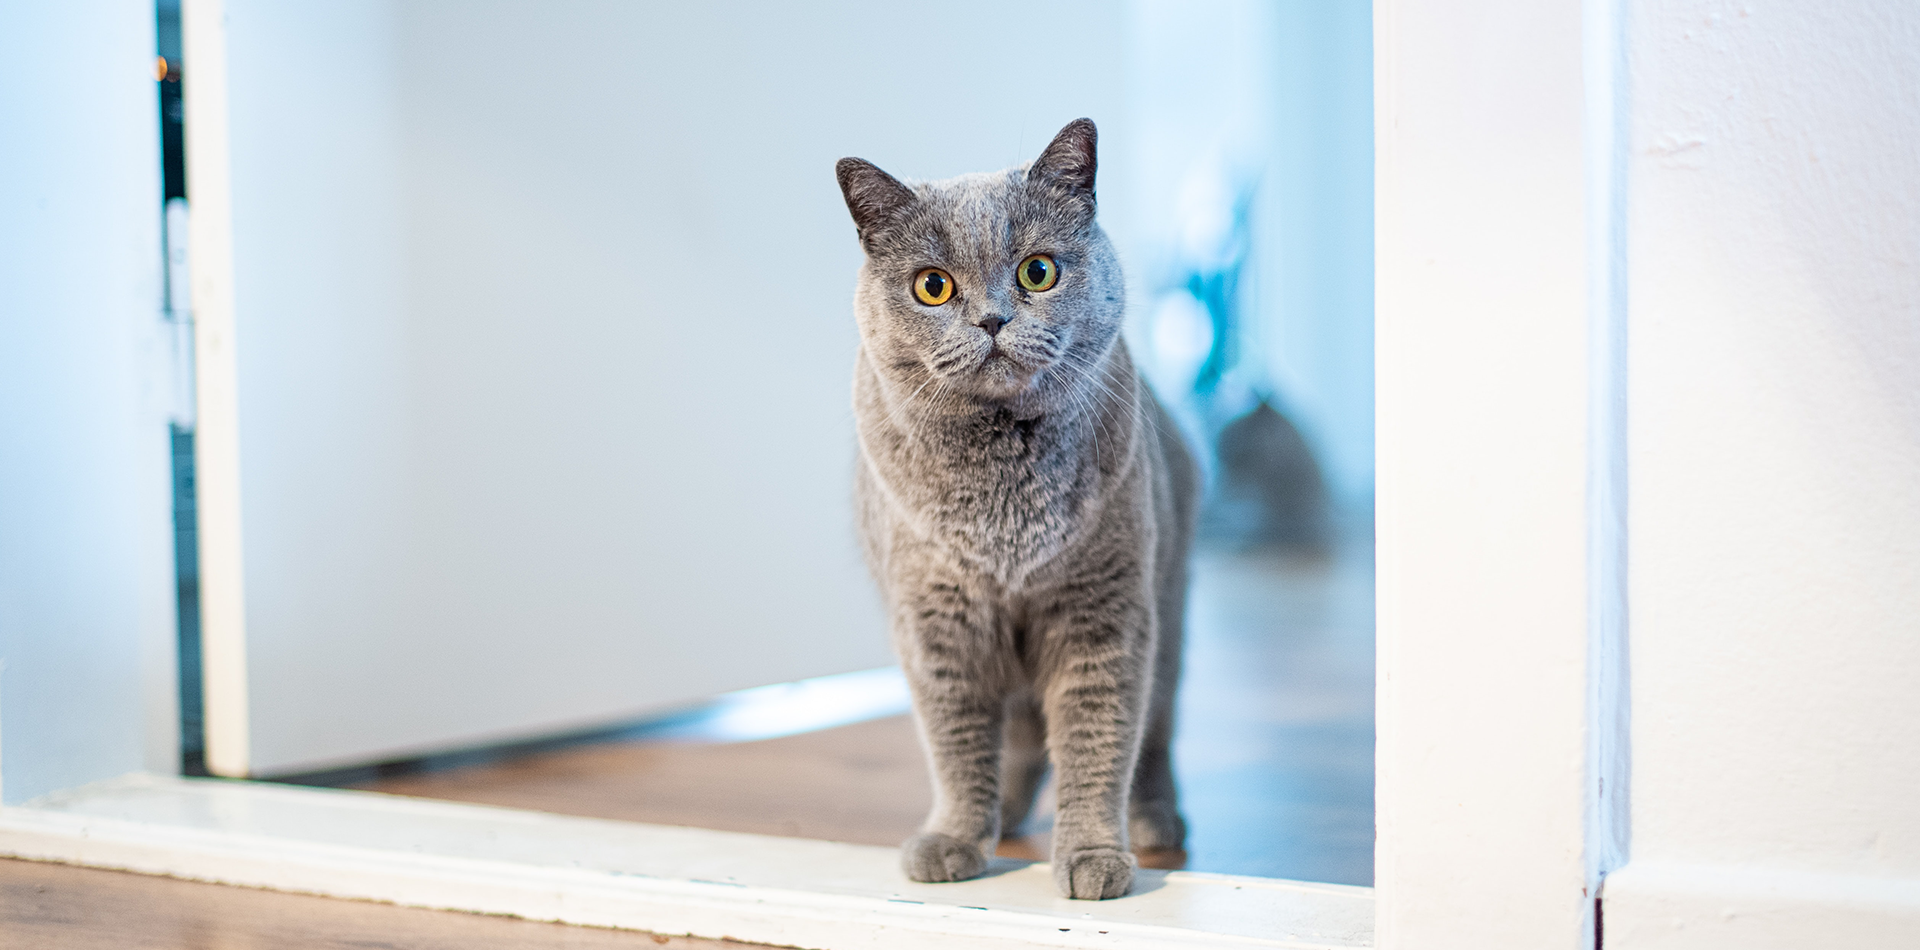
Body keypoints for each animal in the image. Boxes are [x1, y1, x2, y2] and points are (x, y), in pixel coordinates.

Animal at [833, 118, 1190, 898]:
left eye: (1037, 272)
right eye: (932, 287)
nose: (992, 320)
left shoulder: (1104, 615)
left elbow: (1097, 741)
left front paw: (1091, 855)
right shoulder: (937, 626)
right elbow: (957, 744)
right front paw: (955, 839)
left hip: (1171, 611)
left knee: (1154, 735)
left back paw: (1155, 823)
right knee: (1021, 740)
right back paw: (1011, 811)